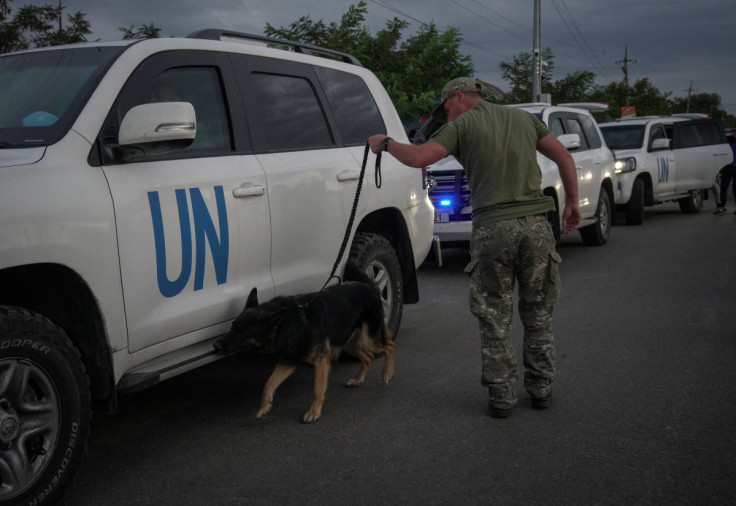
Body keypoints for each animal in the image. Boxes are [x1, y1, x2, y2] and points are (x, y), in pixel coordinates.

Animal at [213, 264, 396, 422]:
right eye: (233, 326)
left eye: (242, 332)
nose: (216, 345)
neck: (294, 322)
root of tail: (370, 287)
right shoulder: (288, 361)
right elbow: (269, 383)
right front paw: (264, 406)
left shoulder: (321, 362)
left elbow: (317, 390)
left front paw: (314, 412)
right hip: (349, 343)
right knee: (369, 357)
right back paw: (358, 379)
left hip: (368, 340)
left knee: (389, 346)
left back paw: (387, 373)